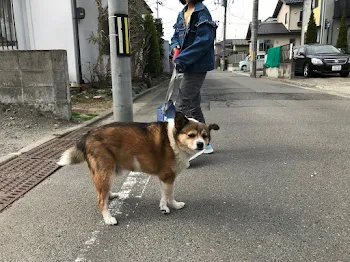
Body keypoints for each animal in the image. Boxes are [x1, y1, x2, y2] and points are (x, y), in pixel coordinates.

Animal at [56, 111, 219, 224]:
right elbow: (167, 195)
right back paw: (108, 218)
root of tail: (87, 135)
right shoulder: (167, 176)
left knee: (102, 192)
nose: (201, 144)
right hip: (105, 171)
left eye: (205, 136)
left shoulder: (168, 178)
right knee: (100, 200)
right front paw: (166, 207)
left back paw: (110, 195)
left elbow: (169, 194)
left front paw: (173, 205)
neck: (174, 139)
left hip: (107, 173)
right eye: (191, 135)